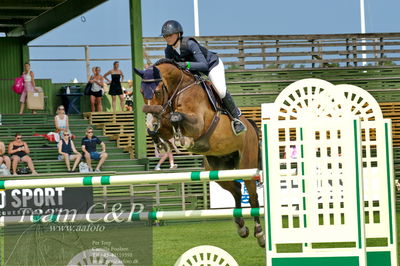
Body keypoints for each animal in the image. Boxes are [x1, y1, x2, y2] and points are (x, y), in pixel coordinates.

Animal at [134, 58, 266, 247]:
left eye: (157, 91)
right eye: (141, 92)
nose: (151, 121)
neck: (180, 89)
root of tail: (252, 127)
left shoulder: (198, 122)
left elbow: (176, 117)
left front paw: (182, 140)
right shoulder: (164, 120)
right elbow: (163, 125)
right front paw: (161, 142)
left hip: (246, 166)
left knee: (253, 196)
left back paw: (260, 234)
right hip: (216, 170)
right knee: (236, 189)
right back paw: (241, 227)